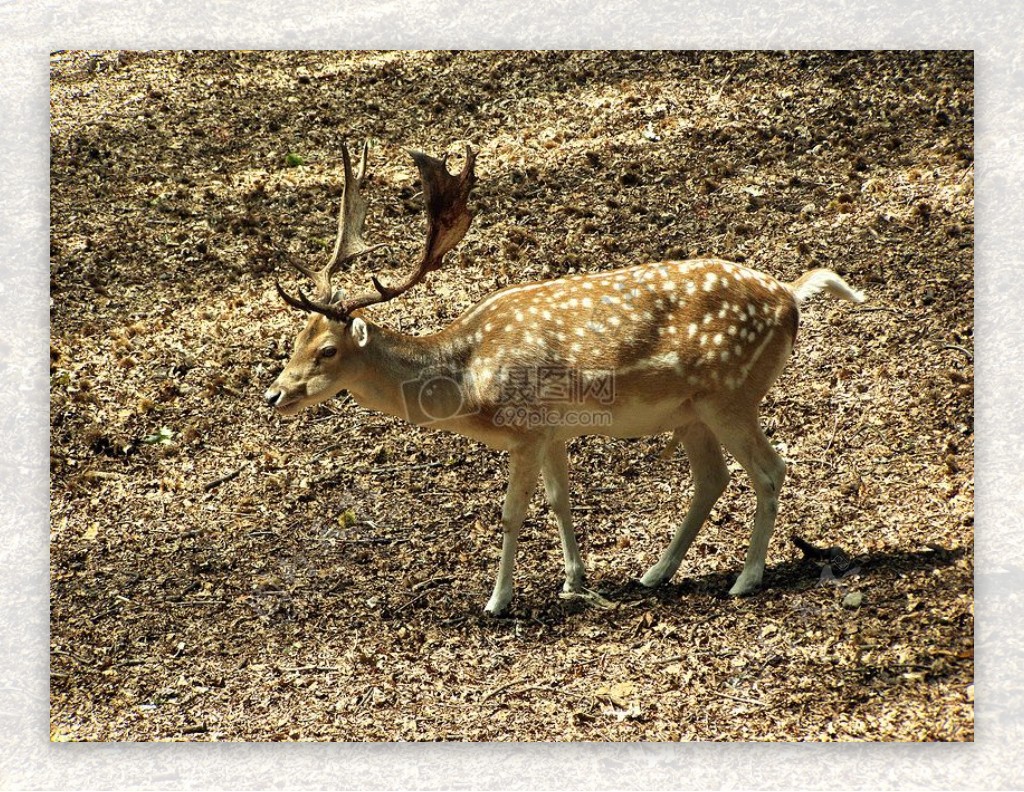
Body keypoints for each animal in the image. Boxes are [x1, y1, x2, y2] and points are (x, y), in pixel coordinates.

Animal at [264, 142, 864, 614]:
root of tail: (791, 297)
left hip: (732, 395)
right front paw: (574, 580)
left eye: (328, 350)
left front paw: (498, 600)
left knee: (769, 470)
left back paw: (746, 578)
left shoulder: (527, 428)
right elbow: (560, 501)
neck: (468, 379)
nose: (274, 393)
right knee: (712, 478)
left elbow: (511, 513)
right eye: (294, 341)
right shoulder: (553, 432)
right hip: (692, 412)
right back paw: (655, 573)